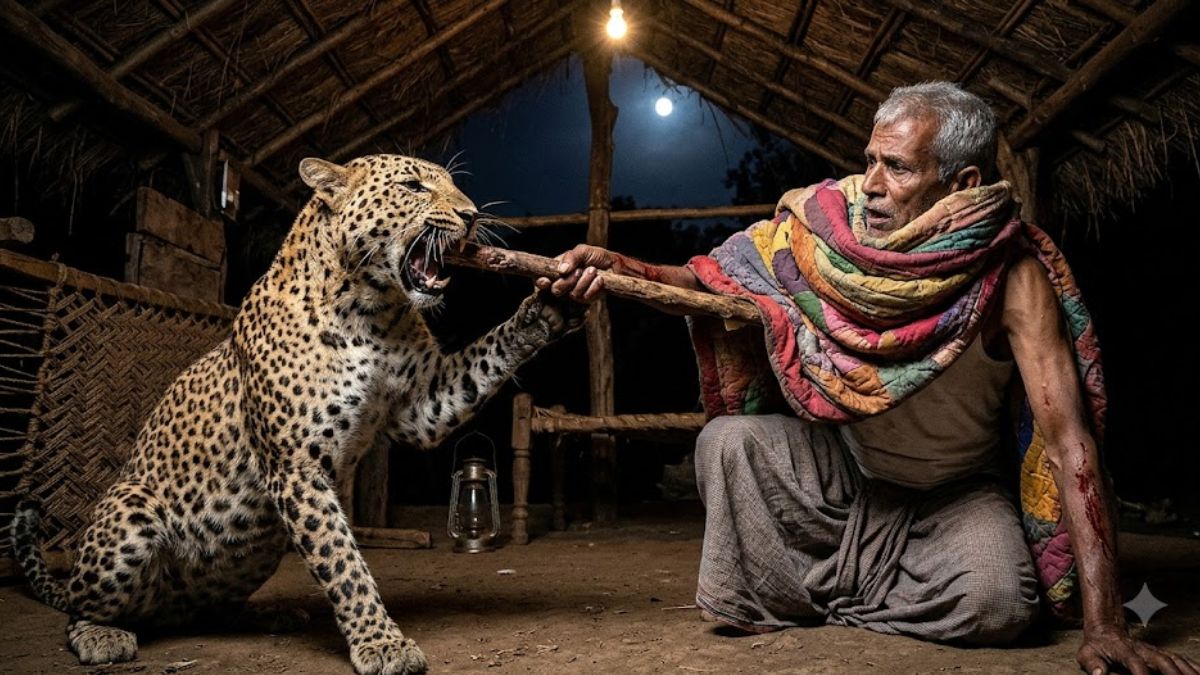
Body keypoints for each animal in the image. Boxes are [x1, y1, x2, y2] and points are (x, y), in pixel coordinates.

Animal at [10, 153, 582, 674]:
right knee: (81, 608)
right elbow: (342, 561)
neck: (372, 310)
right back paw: (101, 635)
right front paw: (382, 643)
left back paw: (268, 615)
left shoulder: (422, 405)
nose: (470, 215)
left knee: (202, 611)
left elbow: (485, 359)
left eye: (452, 185)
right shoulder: (297, 467)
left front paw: (546, 308)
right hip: (133, 506)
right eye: (413, 186)